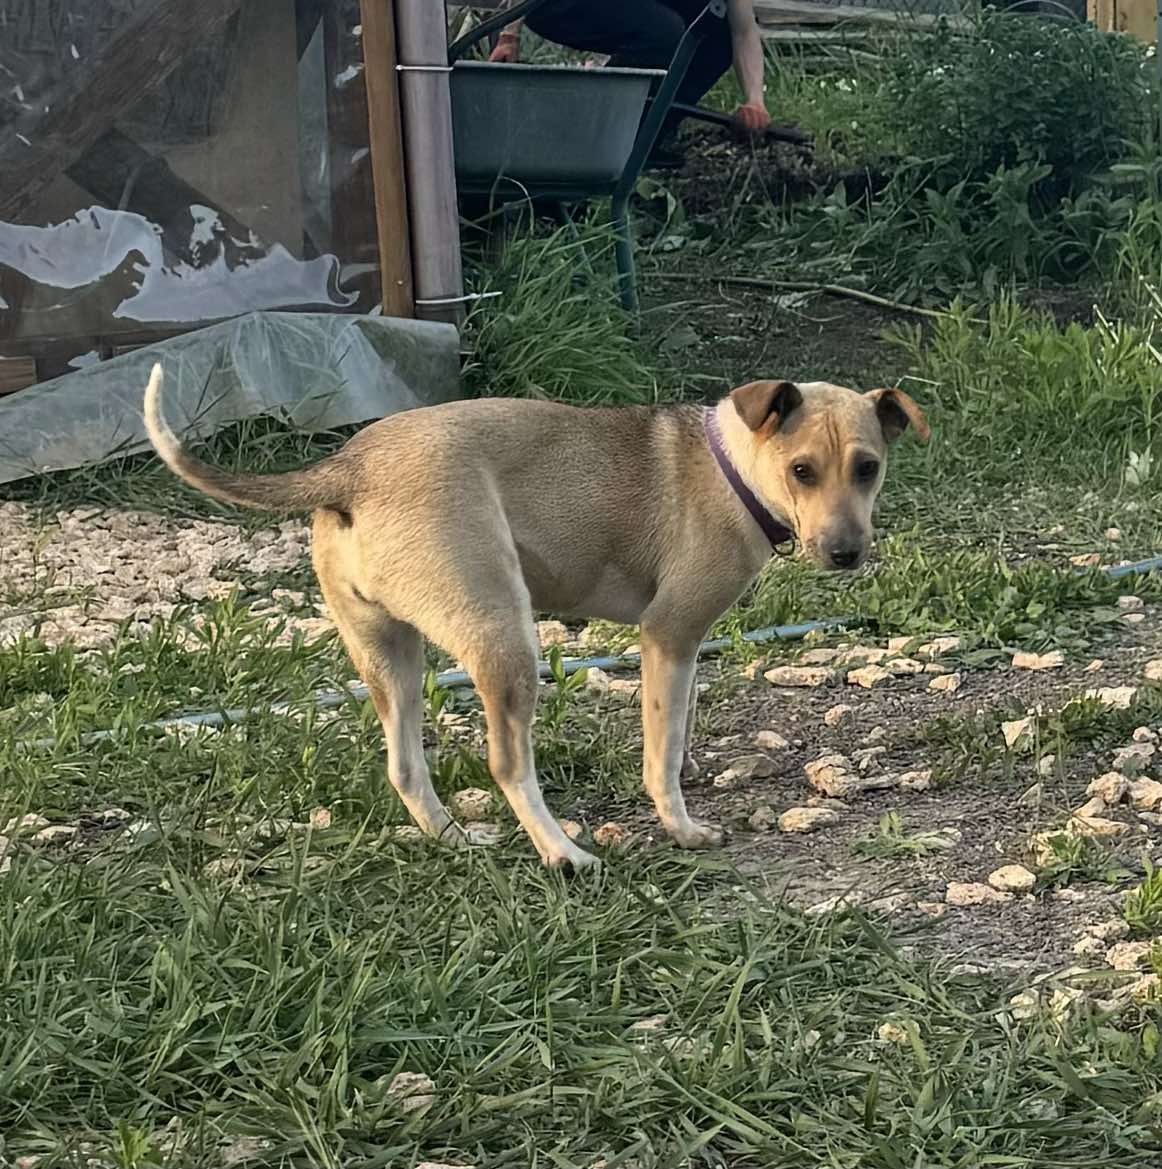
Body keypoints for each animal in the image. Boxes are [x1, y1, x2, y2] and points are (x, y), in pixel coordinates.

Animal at [142, 369, 925, 874]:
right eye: (802, 470)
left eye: (867, 468)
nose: (847, 554)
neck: (731, 466)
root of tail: (347, 469)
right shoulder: (669, 632)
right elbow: (660, 754)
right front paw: (680, 824)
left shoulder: (683, 648)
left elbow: (677, 728)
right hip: (505, 638)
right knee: (508, 762)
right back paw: (563, 853)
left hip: (391, 655)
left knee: (405, 765)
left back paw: (453, 841)